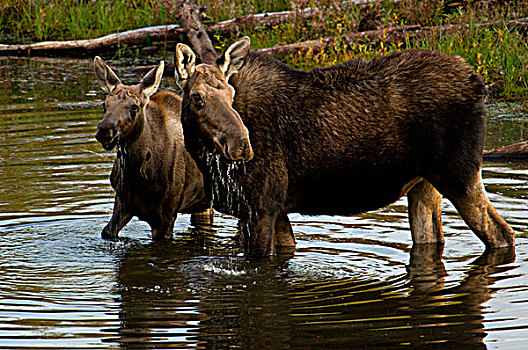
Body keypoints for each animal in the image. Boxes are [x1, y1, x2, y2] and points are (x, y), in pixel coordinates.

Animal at [95, 56, 210, 241]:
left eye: (134, 106)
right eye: (104, 104)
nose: (105, 130)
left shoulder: (166, 215)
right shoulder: (123, 202)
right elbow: (107, 232)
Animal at [175, 37, 512, 258]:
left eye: (231, 94)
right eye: (197, 97)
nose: (242, 146)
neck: (204, 159)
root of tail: (478, 83)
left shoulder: (261, 207)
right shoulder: (274, 208)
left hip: (459, 173)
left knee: (502, 234)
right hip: (425, 184)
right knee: (432, 240)